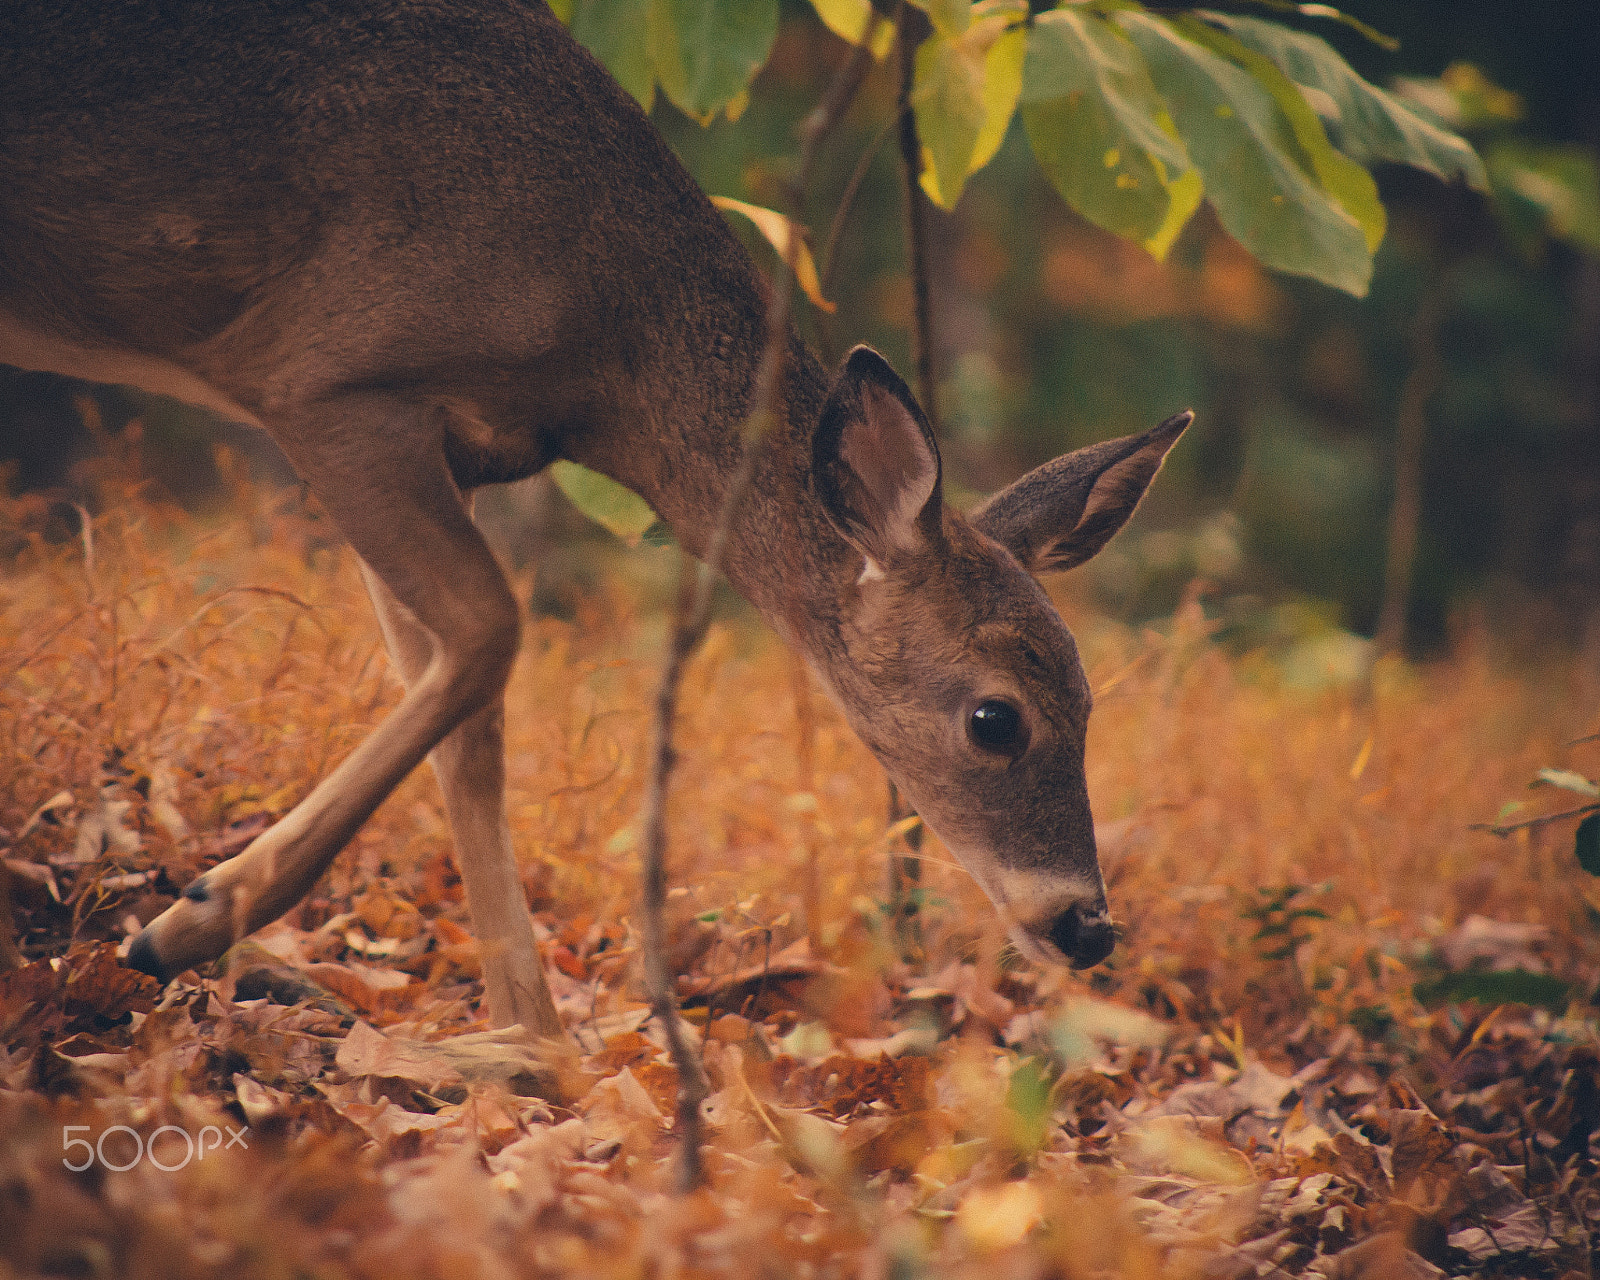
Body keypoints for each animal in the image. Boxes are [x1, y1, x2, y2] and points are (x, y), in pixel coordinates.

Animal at [0, 0, 1189, 1042]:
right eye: (995, 717)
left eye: (1090, 698)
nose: (1085, 924)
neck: (602, 340)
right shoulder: (327, 378)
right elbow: (492, 632)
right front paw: (188, 921)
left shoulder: (445, 447)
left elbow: (467, 727)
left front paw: (525, 1040)